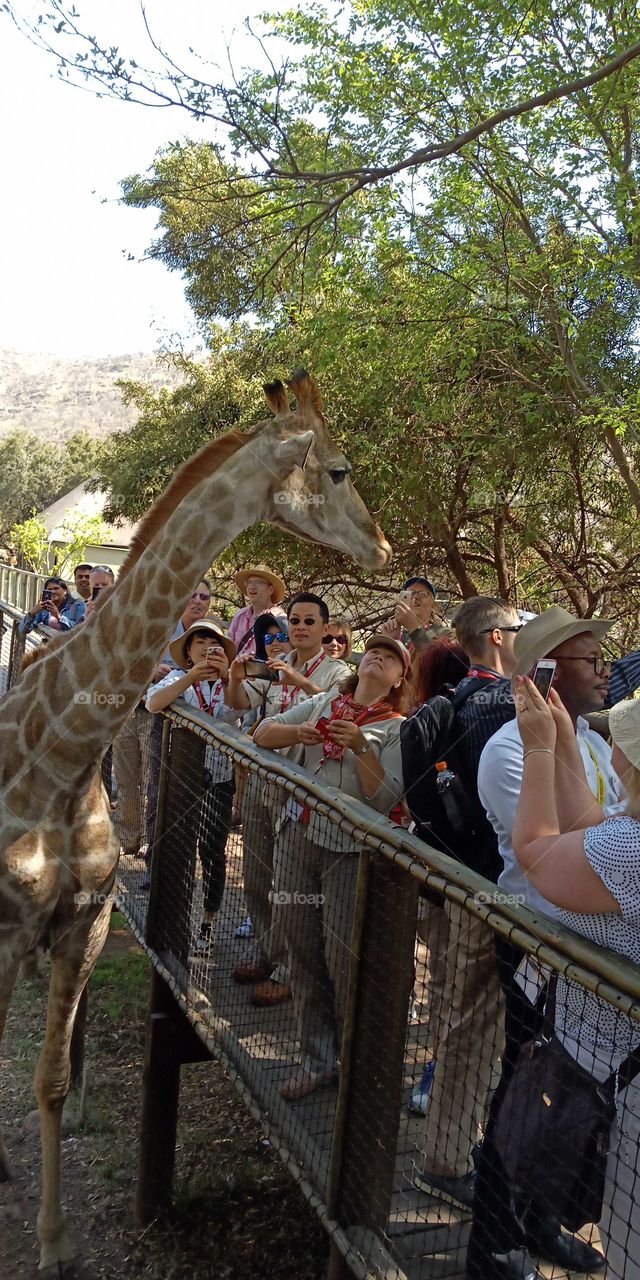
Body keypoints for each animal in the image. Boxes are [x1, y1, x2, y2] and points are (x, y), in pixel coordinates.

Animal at [0, 371, 391, 1276]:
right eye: (341, 471)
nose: (384, 547)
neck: (61, 757)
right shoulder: (3, 931)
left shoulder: (84, 920)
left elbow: (48, 1080)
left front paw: (55, 1240)